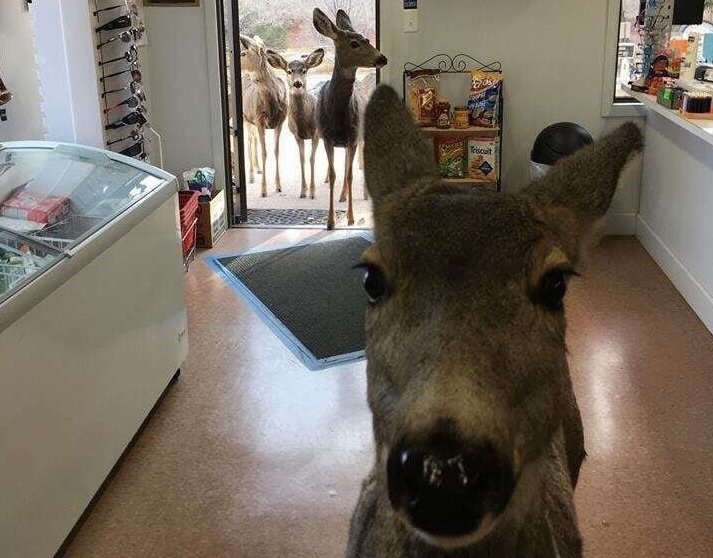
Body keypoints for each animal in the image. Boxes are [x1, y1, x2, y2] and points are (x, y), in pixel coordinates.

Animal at [238, 34, 286, 197]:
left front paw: (278, 186)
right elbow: (265, 152)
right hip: (245, 119)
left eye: (243, 53)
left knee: (254, 140)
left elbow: (276, 151)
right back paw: (251, 175)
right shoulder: (259, 120)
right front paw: (264, 190)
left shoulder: (280, 121)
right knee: (249, 140)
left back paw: (258, 169)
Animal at [266, 48, 324, 201]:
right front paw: (303, 191)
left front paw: (313, 192)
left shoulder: (315, 134)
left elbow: (311, 159)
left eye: (304, 70)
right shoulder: (297, 136)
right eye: (288, 71)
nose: (297, 84)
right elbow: (302, 159)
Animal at [312, 7, 386, 230]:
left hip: (359, 136)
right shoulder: (327, 138)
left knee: (350, 168)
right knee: (343, 167)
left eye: (368, 40)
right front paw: (330, 221)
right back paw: (342, 196)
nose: (382, 58)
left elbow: (351, 175)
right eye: (354, 43)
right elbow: (333, 175)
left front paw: (351, 218)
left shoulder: (353, 137)